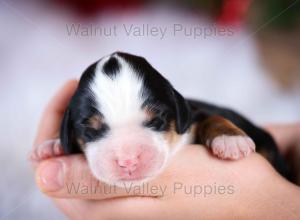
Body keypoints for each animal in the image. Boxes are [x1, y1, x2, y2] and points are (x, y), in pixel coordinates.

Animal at [29, 52, 288, 187]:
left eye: (156, 121)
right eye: (91, 130)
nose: (128, 161)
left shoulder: (194, 114)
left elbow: (211, 117)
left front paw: (230, 139)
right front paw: (52, 145)